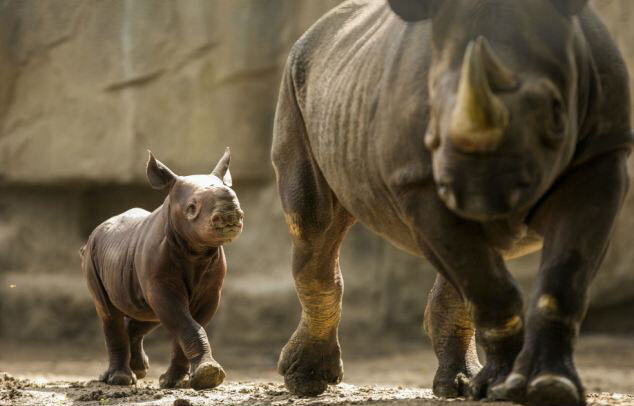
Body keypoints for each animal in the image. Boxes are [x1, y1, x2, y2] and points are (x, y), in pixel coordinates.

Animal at [81, 148, 242, 390]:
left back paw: (137, 369)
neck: (196, 250)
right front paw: (208, 375)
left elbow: (186, 326)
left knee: (147, 314)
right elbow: (187, 325)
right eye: (191, 208)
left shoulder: (210, 292)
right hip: (92, 255)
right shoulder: (162, 284)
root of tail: (98, 228)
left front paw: (176, 381)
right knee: (109, 313)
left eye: (236, 198)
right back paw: (120, 379)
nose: (230, 214)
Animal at [270, 1, 628, 404]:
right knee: (315, 226)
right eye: (433, 115)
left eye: (556, 113)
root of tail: (315, 30)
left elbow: (562, 279)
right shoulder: (419, 182)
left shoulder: (603, 154)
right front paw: (504, 387)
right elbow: (490, 286)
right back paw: (306, 381)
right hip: (299, 80)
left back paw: (458, 384)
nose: (480, 194)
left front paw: (550, 386)